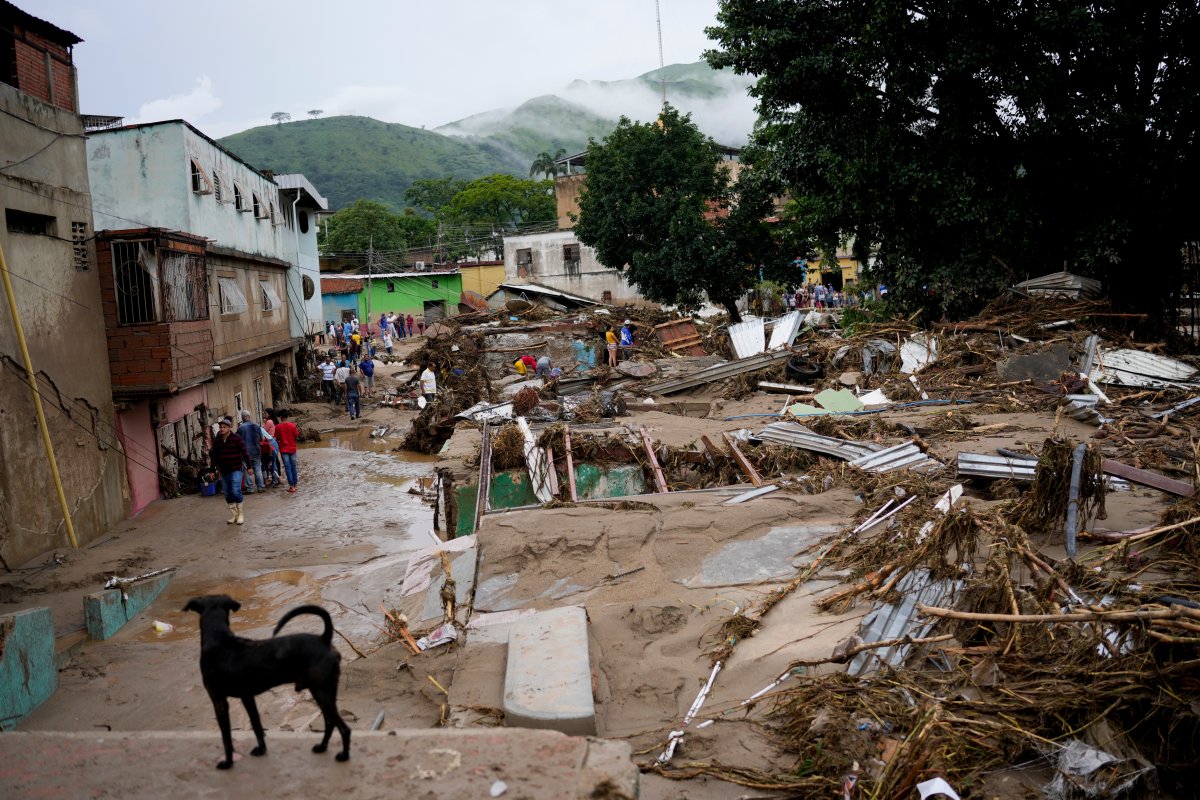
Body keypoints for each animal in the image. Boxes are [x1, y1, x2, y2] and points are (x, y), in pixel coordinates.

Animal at [182, 594, 350, 767]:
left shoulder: (219, 701)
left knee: (344, 728)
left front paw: (228, 762)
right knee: (330, 721)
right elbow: (256, 724)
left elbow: (226, 737)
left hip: (322, 692)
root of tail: (324, 639)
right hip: (321, 692)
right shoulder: (247, 697)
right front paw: (261, 750)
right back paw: (322, 747)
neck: (219, 642)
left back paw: (343, 755)